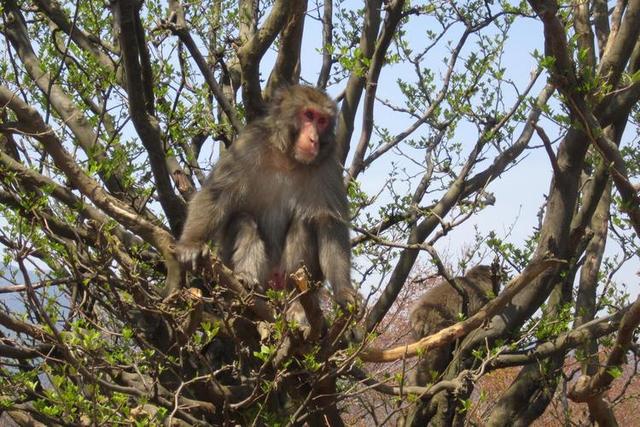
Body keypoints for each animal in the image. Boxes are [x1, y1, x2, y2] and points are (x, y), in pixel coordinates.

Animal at [176, 84, 360, 318]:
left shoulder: (327, 163)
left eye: (322, 121)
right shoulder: (248, 145)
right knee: (243, 220)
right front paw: (190, 244)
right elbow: (217, 194)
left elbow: (328, 221)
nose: (314, 140)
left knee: (304, 224)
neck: (287, 157)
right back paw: (246, 279)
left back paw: (296, 306)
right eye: (308, 115)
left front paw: (343, 291)